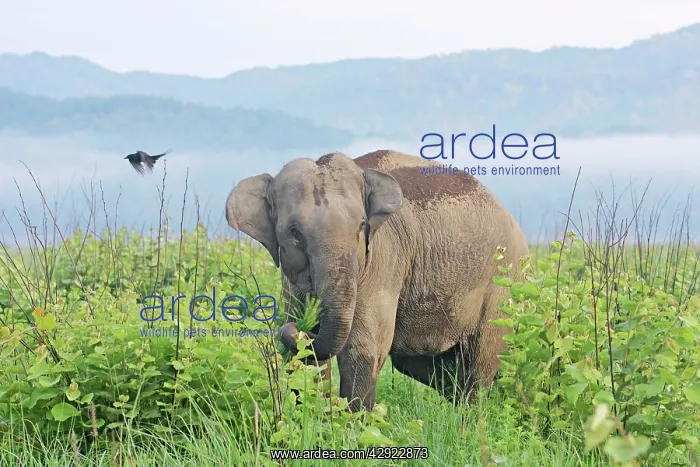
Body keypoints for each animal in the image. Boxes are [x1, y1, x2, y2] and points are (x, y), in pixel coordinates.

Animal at [225, 150, 529, 412]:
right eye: (294, 232)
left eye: (361, 226)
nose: (297, 327)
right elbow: (308, 354)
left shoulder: (384, 257)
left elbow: (363, 348)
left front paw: (352, 427)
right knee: (424, 365)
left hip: (503, 283)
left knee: (479, 366)